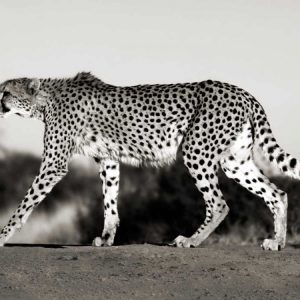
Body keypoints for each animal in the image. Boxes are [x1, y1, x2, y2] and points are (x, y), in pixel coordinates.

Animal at [0, 73, 296, 251]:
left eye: (6, 92)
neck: (45, 99)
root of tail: (242, 92)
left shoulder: (54, 164)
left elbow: (26, 203)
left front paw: (3, 235)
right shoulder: (108, 159)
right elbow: (110, 201)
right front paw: (107, 238)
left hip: (195, 150)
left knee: (219, 203)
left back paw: (191, 240)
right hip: (236, 162)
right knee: (277, 193)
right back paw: (277, 242)